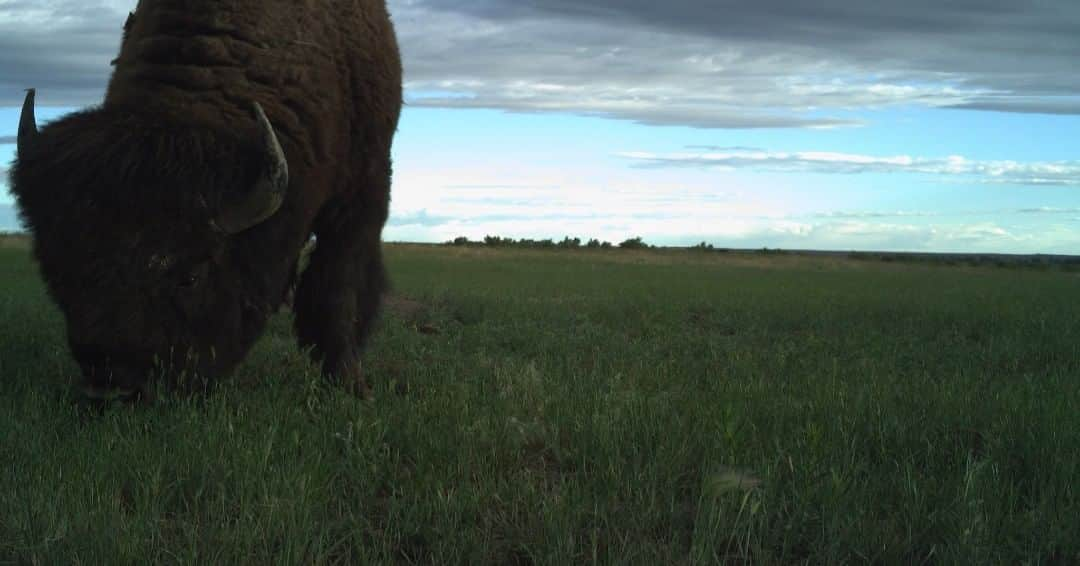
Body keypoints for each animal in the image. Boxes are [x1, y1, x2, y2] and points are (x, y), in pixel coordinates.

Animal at [7, 0, 406, 399]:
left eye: (191, 276)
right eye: (55, 270)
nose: (111, 387)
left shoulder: (361, 196)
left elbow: (338, 289)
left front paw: (351, 386)